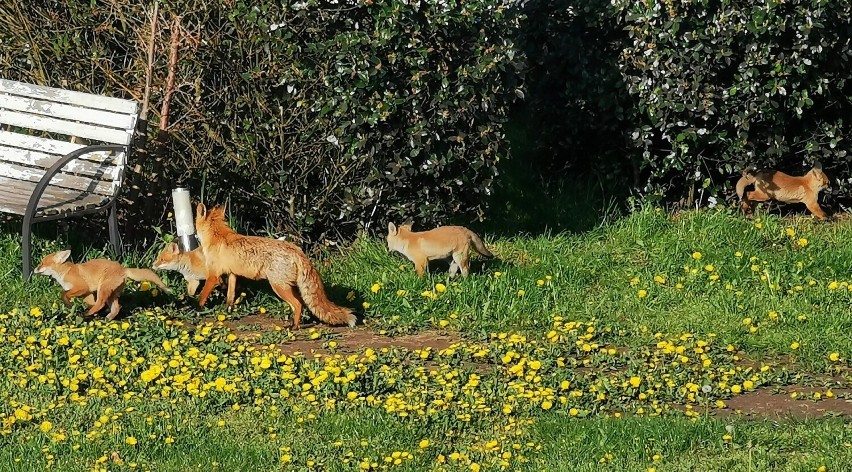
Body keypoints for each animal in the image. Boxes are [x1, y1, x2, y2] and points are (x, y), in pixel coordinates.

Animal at [34, 247, 170, 320]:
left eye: (42, 263)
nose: (34, 269)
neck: (64, 273)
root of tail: (123, 268)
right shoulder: (87, 293)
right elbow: (88, 302)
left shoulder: (82, 287)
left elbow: (64, 294)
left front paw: (69, 304)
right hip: (111, 294)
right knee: (115, 307)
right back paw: (106, 318)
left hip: (102, 289)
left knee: (100, 303)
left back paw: (87, 314)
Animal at [191, 205, 354, 330]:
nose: (193, 234)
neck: (217, 235)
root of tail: (297, 250)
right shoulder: (232, 274)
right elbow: (230, 297)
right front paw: (227, 312)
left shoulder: (213, 275)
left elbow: (203, 295)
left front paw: (196, 308)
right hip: (287, 287)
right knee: (299, 304)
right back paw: (293, 323)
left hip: (278, 287)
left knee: (298, 304)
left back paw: (294, 327)